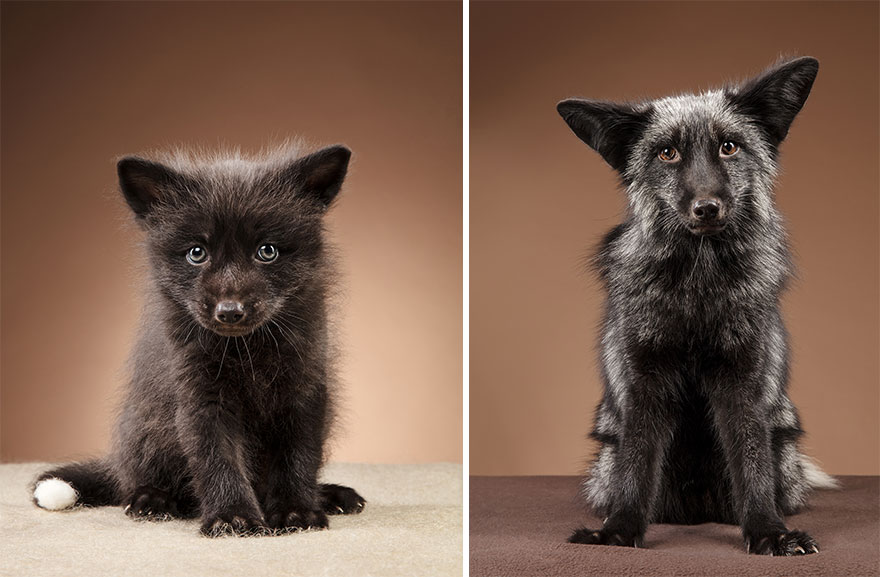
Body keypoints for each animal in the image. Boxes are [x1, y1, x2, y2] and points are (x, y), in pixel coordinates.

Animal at [557, 57, 836, 556]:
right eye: (667, 153)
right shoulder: (645, 380)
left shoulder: (742, 379)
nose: (707, 208)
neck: (698, 292)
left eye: (729, 147)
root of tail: (696, 511)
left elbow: (750, 461)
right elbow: (637, 463)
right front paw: (618, 532)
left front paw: (768, 531)